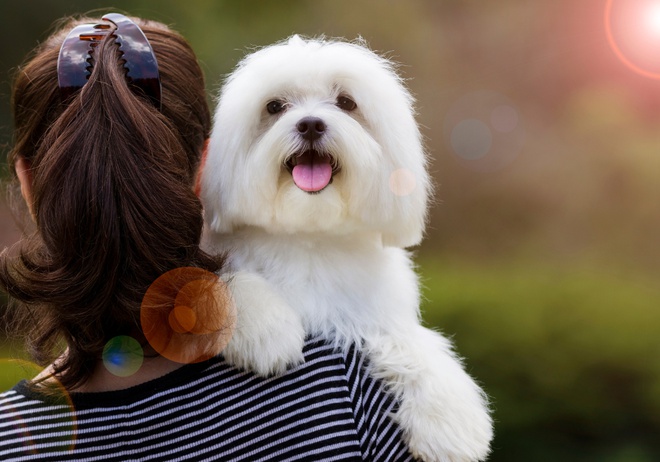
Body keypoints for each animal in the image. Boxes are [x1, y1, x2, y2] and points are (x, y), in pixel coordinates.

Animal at [204, 34, 492, 460]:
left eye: (346, 102)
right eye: (274, 106)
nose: (310, 123)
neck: (309, 235)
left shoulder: (370, 311)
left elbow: (412, 341)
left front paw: (452, 422)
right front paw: (267, 331)